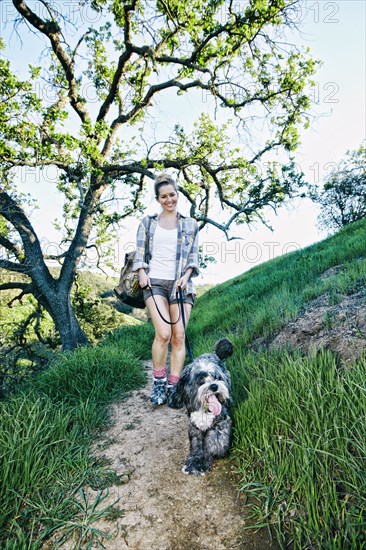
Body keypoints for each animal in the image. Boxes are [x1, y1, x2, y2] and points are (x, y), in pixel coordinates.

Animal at [169, 338, 233, 476]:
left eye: (217, 377)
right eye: (200, 380)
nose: (214, 386)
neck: (205, 410)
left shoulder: (222, 420)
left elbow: (214, 439)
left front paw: (208, 457)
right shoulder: (194, 425)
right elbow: (196, 443)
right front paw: (195, 461)